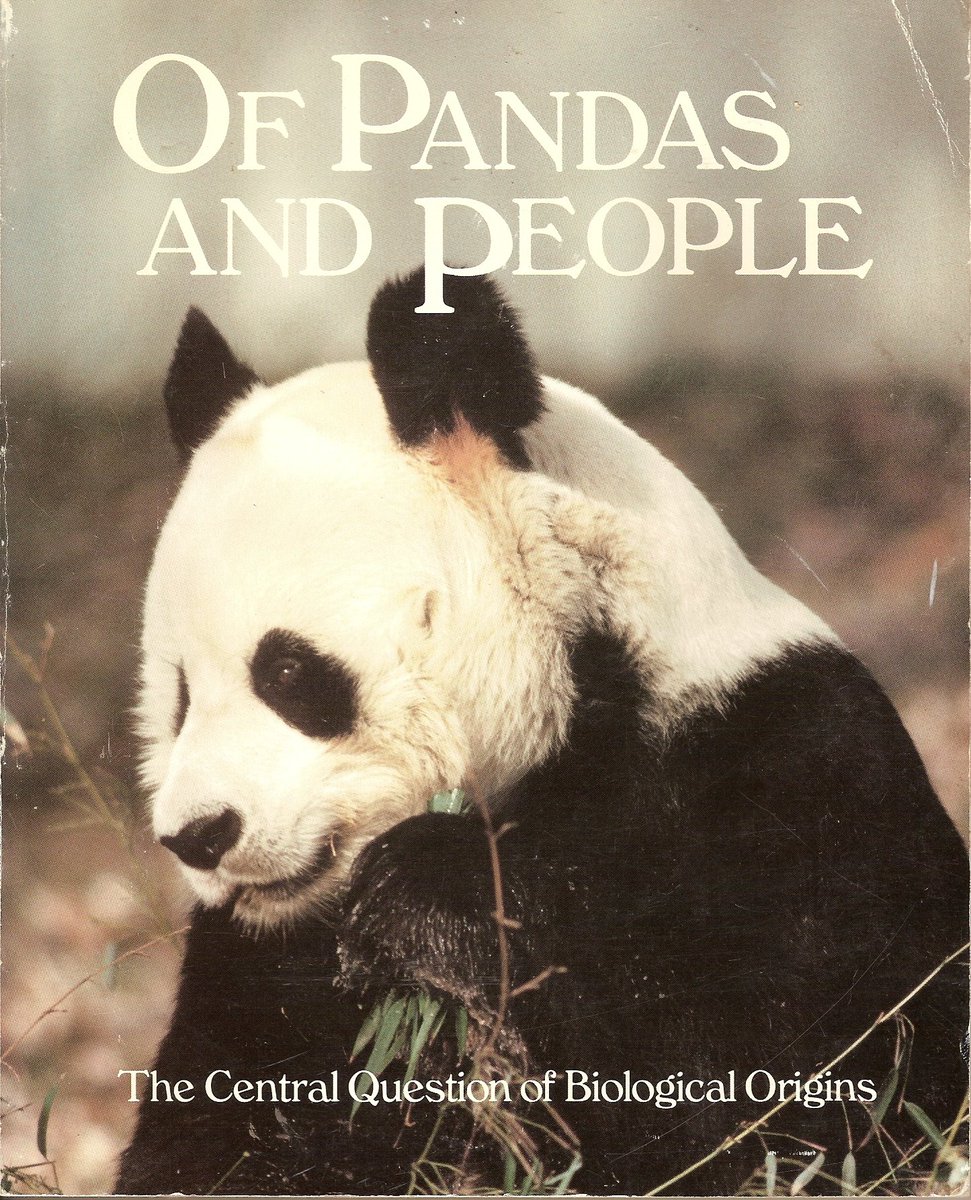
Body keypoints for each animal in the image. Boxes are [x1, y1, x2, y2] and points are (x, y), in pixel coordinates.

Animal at [116, 267, 968, 1196]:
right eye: (180, 696)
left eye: (287, 673)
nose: (198, 836)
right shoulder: (260, 952)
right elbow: (216, 1121)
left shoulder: (789, 765)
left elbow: (815, 1082)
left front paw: (431, 894)